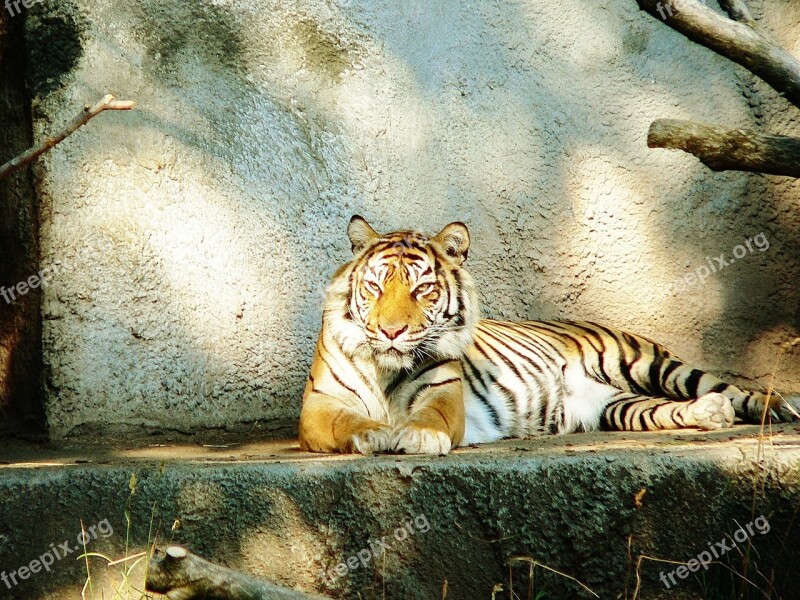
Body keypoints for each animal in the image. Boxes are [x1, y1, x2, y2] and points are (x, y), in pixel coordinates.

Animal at [300, 216, 800, 454]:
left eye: (422, 289)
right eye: (375, 286)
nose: (391, 330)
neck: (385, 368)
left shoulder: (443, 395)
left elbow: (429, 418)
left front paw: (417, 437)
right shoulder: (320, 407)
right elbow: (351, 422)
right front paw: (376, 435)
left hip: (646, 362)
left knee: (726, 388)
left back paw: (778, 407)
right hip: (611, 405)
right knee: (665, 409)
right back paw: (711, 414)